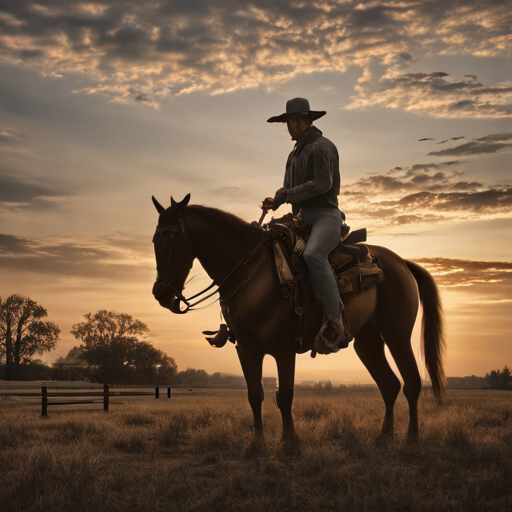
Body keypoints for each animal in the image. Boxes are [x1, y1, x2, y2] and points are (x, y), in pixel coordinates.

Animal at [151, 194, 444, 450]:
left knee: (411, 383)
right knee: (389, 385)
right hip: (367, 342)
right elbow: (255, 395)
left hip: (396, 335)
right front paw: (257, 443)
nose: (160, 293)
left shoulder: (283, 349)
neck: (252, 273)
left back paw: (411, 440)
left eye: (173, 237)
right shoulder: (246, 349)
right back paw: (384, 437)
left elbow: (284, 396)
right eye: (154, 239)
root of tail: (401, 262)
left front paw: (290, 442)